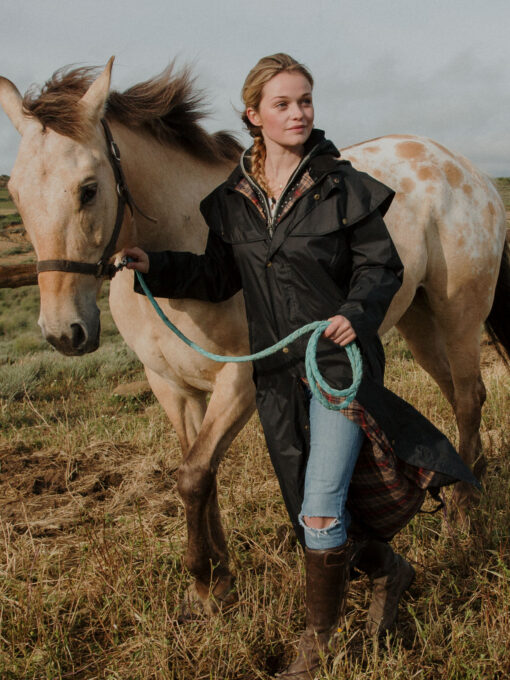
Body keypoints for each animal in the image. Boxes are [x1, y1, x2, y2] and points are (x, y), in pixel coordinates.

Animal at [0, 57, 508, 612]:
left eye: (89, 188)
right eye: (16, 193)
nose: (63, 333)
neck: (187, 240)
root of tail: (466, 170)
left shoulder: (240, 382)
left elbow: (193, 475)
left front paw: (203, 578)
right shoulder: (171, 387)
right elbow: (200, 474)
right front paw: (215, 582)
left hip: (459, 313)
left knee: (468, 399)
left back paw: (461, 518)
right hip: (417, 321)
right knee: (458, 396)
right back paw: (471, 486)